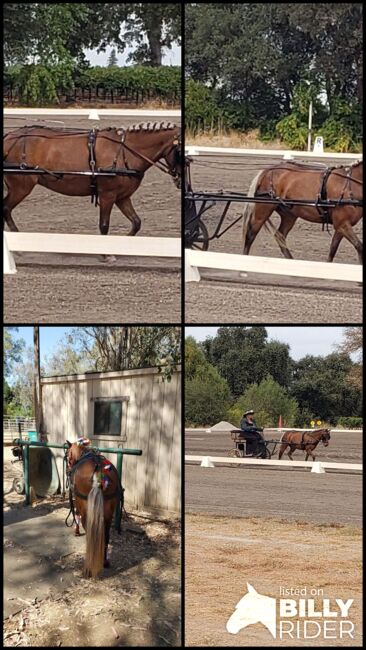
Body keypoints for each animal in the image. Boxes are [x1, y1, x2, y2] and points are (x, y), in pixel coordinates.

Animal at [4, 120, 182, 234]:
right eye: (181, 151)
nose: (180, 181)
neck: (125, 150)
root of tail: (9, 137)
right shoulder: (107, 195)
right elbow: (104, 225)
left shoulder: (122, 197)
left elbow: (136, 222)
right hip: (21, 186)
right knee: (6, 208)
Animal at [66, 440, 121, 576]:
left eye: (68, 457)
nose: (68, 470)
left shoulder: (78, 502)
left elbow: (76, 514)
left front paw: (76, 531)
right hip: (108, 514)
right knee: (105, 536)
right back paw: (105, 562)